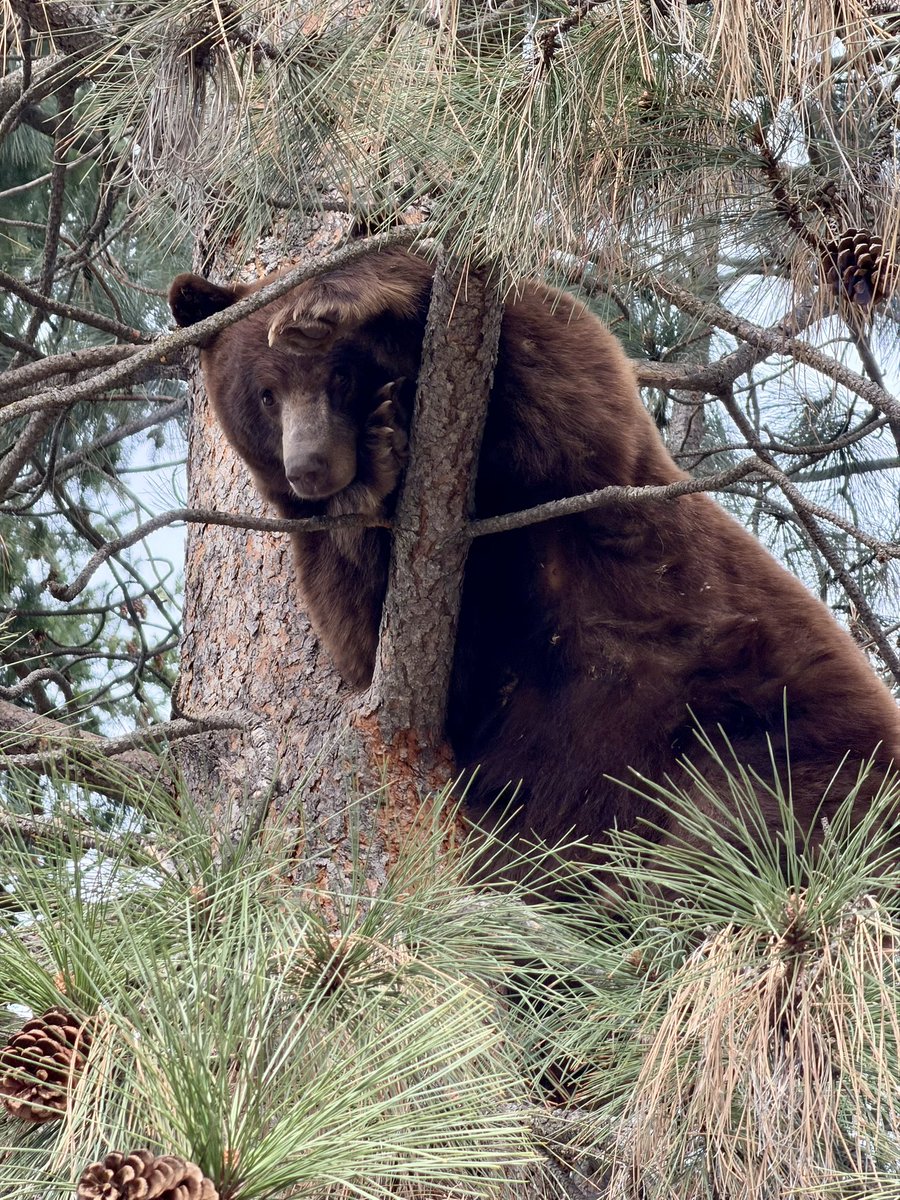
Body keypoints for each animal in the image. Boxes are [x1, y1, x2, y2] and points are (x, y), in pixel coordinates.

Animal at [169, 249, 900, 870]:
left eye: (340, 374)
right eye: (265, 394)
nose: (311, 468)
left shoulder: (574, 483)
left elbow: (557, 371)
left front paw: (334, 296)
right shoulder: (472, 614)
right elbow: (374, 635)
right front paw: (372, 467)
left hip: (770, 718)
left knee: (776, 807)